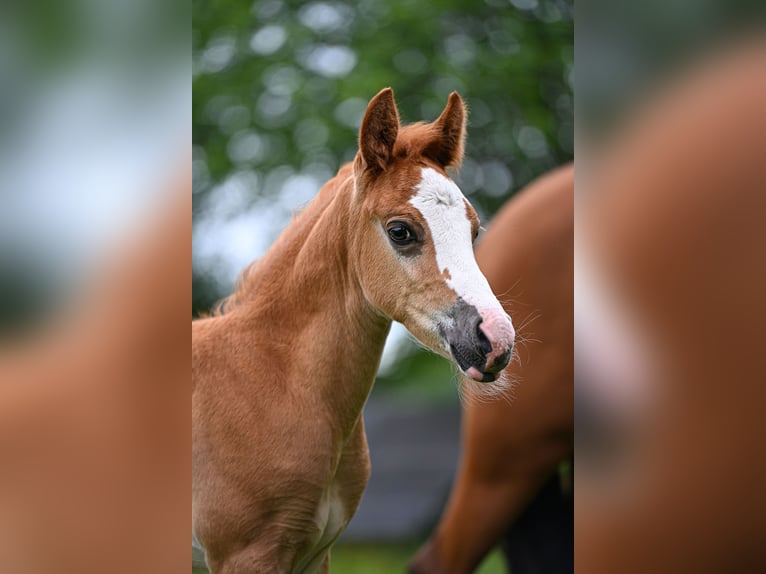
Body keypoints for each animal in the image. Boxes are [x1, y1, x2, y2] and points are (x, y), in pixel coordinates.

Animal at [192, 88, 516, 573]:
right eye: (400, 231)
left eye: (473, 231)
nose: (496, 340)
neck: (274, 382)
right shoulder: (246, 556)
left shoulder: (315, 554)